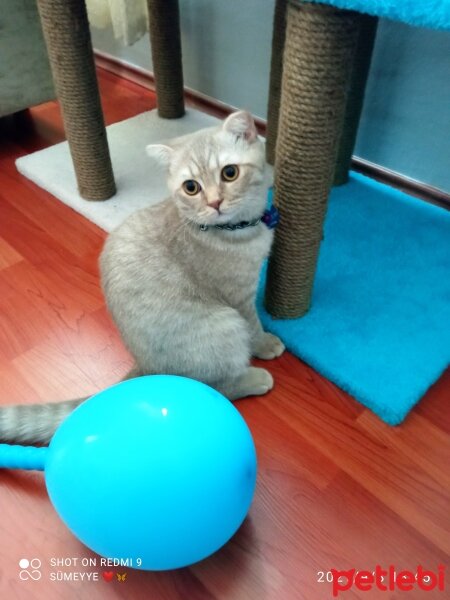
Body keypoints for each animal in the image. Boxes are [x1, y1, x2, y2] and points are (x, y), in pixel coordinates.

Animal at [0, 110, 284, 446]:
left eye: (230, 173)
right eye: (191, 187)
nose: (214, 203)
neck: (238, 231)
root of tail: (145, 366)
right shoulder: (238, 298)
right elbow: (253, 326)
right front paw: (265, 343)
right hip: (223, 326)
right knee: (216, 386)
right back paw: (253, 378)